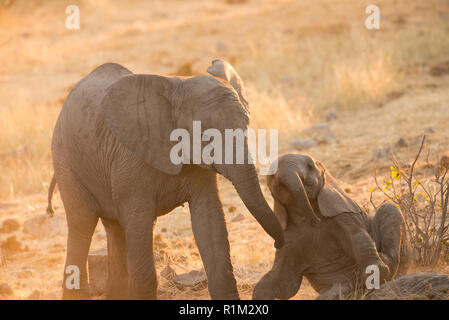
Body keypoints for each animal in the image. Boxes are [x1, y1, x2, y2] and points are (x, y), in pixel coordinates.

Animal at [46, 59, 284, 300]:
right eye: (206, 136)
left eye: (247, 126)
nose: (279, 243)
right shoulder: (131, 159)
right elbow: (139, 220)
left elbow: (209, 219)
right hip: (66, 161)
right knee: (82, 222)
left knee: (114, 228)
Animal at [250, 154, 412, 298]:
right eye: (272, 176)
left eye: (310, 166)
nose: (275, 243)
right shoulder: (289, 236)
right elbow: (283, 283)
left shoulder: (342, 214)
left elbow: (359, 238)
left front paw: (378, 269)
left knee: (389, 209)